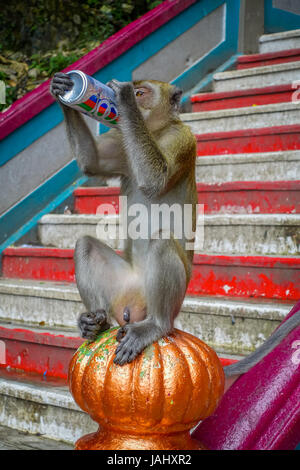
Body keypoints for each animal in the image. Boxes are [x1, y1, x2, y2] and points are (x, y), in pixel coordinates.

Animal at [50, 70, 298, 378]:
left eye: (142, 93)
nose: (134, 97)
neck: (154, 133)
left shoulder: (183, 138)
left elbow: (155, 179)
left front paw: (122, 100)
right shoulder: (121, 142)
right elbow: (93, 163)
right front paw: (64, 90)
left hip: (175, 297)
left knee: (160, 242)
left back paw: (154, 326)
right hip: (124, 286)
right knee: (85, 245)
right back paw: (96, 321)